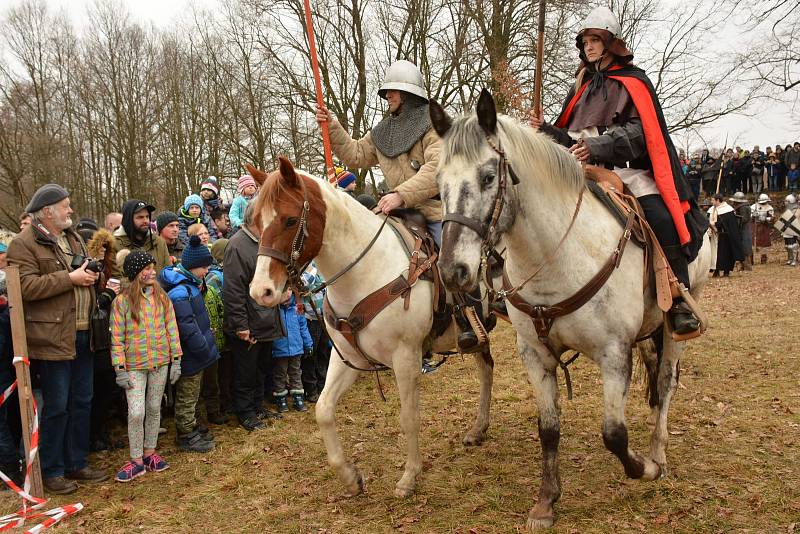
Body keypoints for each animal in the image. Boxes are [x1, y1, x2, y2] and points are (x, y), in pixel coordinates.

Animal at [247, 157, 494, 500]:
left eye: (289, 220)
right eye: (256, 222)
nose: (262, 292)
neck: (364, 272)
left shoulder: (406, 357)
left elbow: (409, 417)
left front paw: (409, 477)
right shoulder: (347, 359)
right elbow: (323, 409)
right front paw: (350, 477)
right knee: (486, 369)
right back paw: (478, 429)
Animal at [432, 92, 712, 532]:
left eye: (489, 177)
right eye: (438, 184)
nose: (452, 271)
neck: (557, 255)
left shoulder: (614, 353)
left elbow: (614, 434)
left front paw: (644, 469)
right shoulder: (535, 355)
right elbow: (548, 429)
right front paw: (546, 501)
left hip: (676, 326)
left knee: (667, 381)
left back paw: (659, 452)